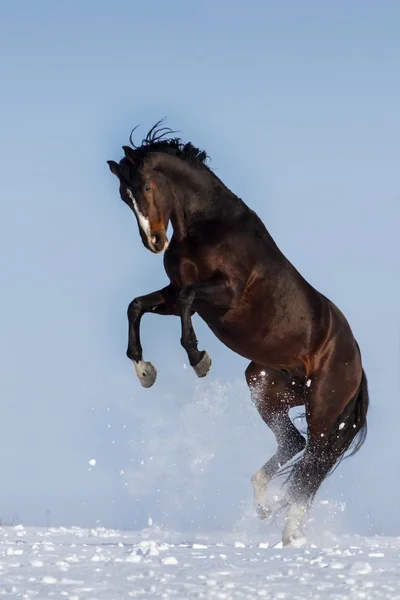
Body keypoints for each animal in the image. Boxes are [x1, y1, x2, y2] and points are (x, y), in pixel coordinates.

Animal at [106, 119, 368, 548]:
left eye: (145, 186)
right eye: (122, 197)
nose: (154, 242)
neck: (206, 226)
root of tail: (356, 362)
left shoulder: (221, 293)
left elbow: (185, 305)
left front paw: (199, 359)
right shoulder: (174, 290)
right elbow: (137, 305)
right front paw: (145, 371)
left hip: (322, 407)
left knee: (313, 459)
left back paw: (289, 530)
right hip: (264, 385)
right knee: (294, 444)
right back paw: (264, 505)